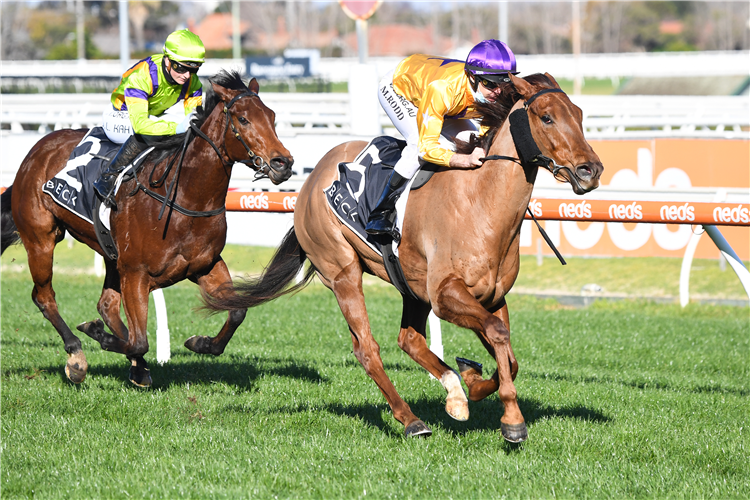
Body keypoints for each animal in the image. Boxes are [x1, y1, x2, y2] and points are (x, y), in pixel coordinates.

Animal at [0, 71, 294, 386]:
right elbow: (139, 340)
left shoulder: (205, 265)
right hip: (41, 238)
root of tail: (37, 150)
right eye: (243, 119)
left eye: (272, 117)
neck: (184, 198)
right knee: (45, 297)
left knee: (107, 305)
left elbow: (237, 311)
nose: (283, 163)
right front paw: (97, 334)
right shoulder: (136, 273)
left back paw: (137, 367)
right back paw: (77, 356)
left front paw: (200, 342)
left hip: (110, 253)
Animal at [204, 71, 604, 442]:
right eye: (546, 117)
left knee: (409, 340)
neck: (480, 204)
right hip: (342, 271)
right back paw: (411, 419)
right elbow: (498, 334)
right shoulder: (446, 294)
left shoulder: (491, 296)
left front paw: (473, 383)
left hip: (411, 285)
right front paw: (512, 421)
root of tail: (311, 179)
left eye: (579, 113)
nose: (591, 170)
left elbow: (508, 353)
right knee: (367, 348)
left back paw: (453, 393)